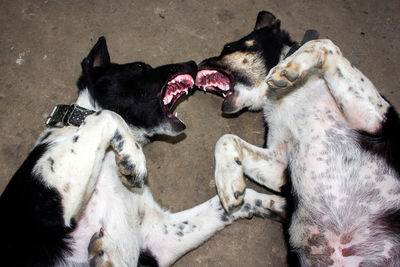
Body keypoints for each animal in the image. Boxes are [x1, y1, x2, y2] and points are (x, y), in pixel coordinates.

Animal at [0, 36, 288, 266]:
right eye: (139, 67)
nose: (192, 62)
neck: (108, 157)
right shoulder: (52, 208)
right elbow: (108, 115)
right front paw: (133, 159)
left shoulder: (156, 234)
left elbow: (234, 200)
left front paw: (278, 204)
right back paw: (104, 253)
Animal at [197, 9, 400, 266]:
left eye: (229, 46)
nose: (198, 64)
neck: (285, 95)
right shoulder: (282, 166)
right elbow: (226, 137)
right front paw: (229, 182)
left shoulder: (373, 120)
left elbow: (323, 43)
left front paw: (289, 67)